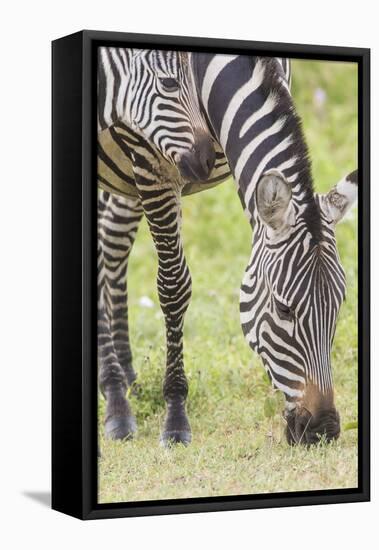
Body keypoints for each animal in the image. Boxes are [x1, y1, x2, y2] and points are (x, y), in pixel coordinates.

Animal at [97, 50, 356, 448]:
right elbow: (174, 287)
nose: (323, 430)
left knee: (113, 242)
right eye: (283, 308)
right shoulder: (152, 164)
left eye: (339, 305)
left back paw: (126, 378)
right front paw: (175, 415)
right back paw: (115, 397)